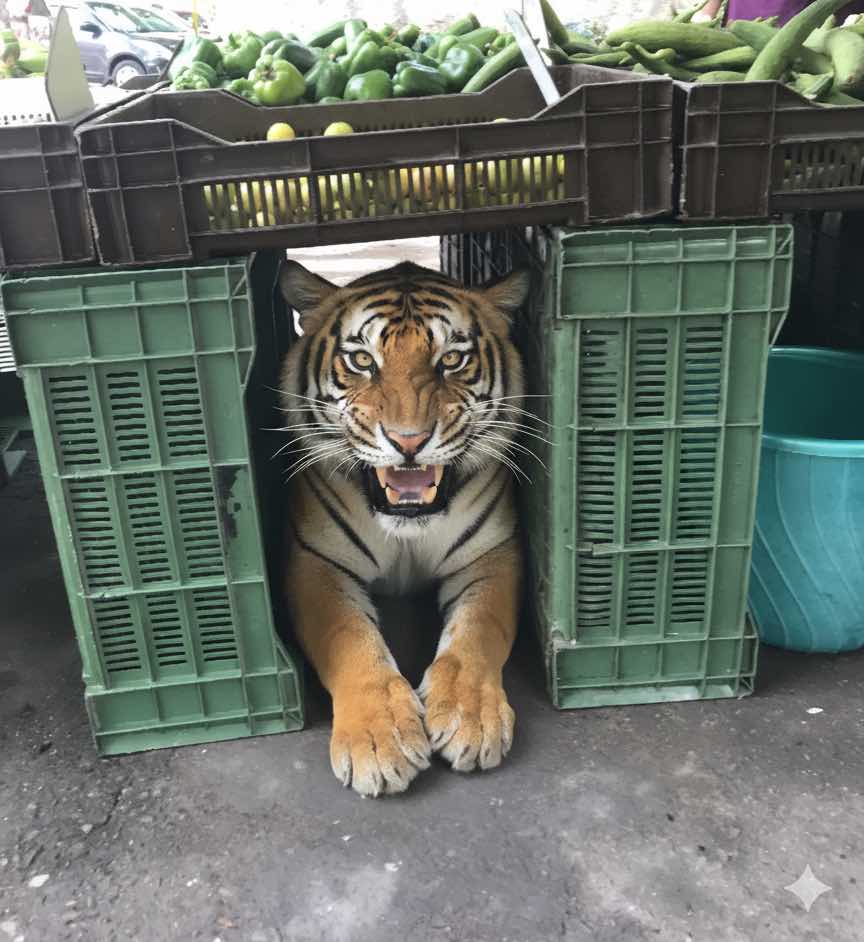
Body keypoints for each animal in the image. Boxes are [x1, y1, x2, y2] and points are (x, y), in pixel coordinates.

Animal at [278, 257, 531, 797]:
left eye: (451, 360)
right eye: (361, 360)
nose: (408, 441)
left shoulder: (493, 554)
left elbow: (479, 630)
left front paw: (470, 720)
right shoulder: (316, 563)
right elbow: (349, 638)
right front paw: (380, 743)